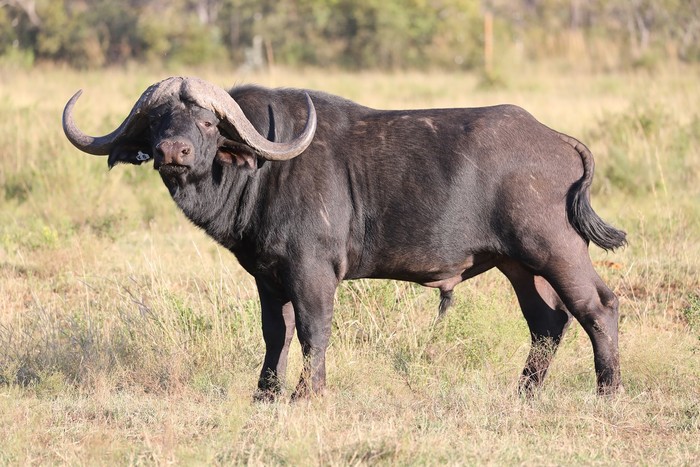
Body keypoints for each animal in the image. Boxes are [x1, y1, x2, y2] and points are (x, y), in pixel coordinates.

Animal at [63, 76, 626, 400]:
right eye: (159, 120)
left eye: (205, 121)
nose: (172, 153)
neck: (262, 170)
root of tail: (558, 140)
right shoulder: (268, 278)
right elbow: (276, 333)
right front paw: (265, 395)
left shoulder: (312, 271)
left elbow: (314, 332)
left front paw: (307, 395)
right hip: (519, 265)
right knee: (547, 323)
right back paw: (523, 394)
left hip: (555, 250)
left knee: (598, 307)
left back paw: (608, 392)